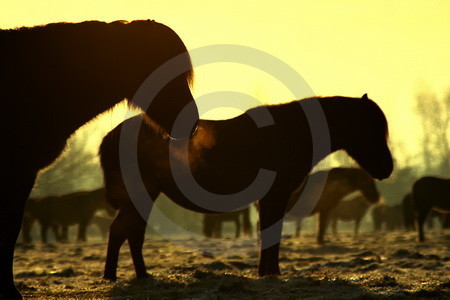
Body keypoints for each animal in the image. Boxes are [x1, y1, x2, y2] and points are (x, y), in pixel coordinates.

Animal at [99, 94, 394, 282]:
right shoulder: (275, 196)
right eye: (372, 129)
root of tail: (110, 137)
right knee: (122, 230)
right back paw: (113, 276)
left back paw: (140, 275)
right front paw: (271, 273)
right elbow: (270, 234)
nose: (387, 168)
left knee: (131, 232)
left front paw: (267, 272)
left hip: (145, 196)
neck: (293, 133)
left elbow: (268, 234)